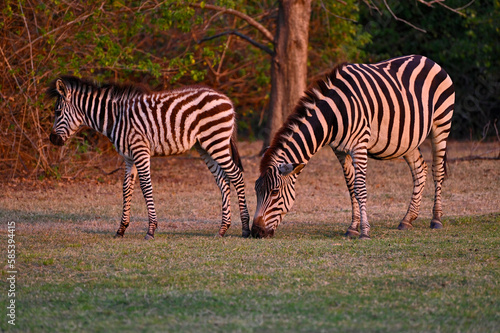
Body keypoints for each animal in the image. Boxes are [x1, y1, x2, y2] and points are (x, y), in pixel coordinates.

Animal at [47, 76, 250, 239]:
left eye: (57, 112)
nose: (52, 139)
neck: (116, 118)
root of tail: (226, 99)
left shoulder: (140, 150)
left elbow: (145, 186)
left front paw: (151, 229)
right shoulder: (128, 156)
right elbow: (126, 188)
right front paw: (121, 229)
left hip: (216, 141)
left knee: (236, 176)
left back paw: (246, 228)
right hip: (204, 146)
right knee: (223, 180)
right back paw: (222, 229)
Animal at [252, 54, 456, 237]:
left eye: (275, 192)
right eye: (256, 190)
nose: (256, 232)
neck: (334, 114)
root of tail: (427, 59)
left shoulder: (359, 145)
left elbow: (360, 188)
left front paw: (364, 231)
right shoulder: (340, 150)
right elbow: (351, 188)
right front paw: (352, 227)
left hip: (441, 124)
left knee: (438, 170)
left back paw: (436, 219)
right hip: (408, 139)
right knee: (420, 170)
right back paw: (407, 219)